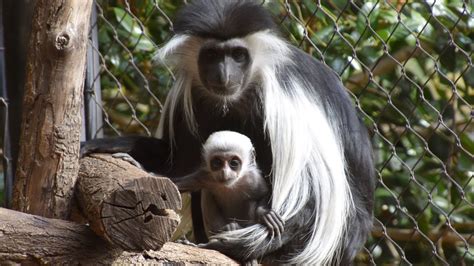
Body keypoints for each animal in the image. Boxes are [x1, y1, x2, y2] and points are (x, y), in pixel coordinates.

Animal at [83, 0, 376, 264]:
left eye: (238, 55)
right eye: (212, 55)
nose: (224, 75)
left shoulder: (283, 101)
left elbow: (308, 196)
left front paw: (244, 240)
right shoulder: (189, 94)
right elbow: (177, 162)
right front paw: (114, 148)